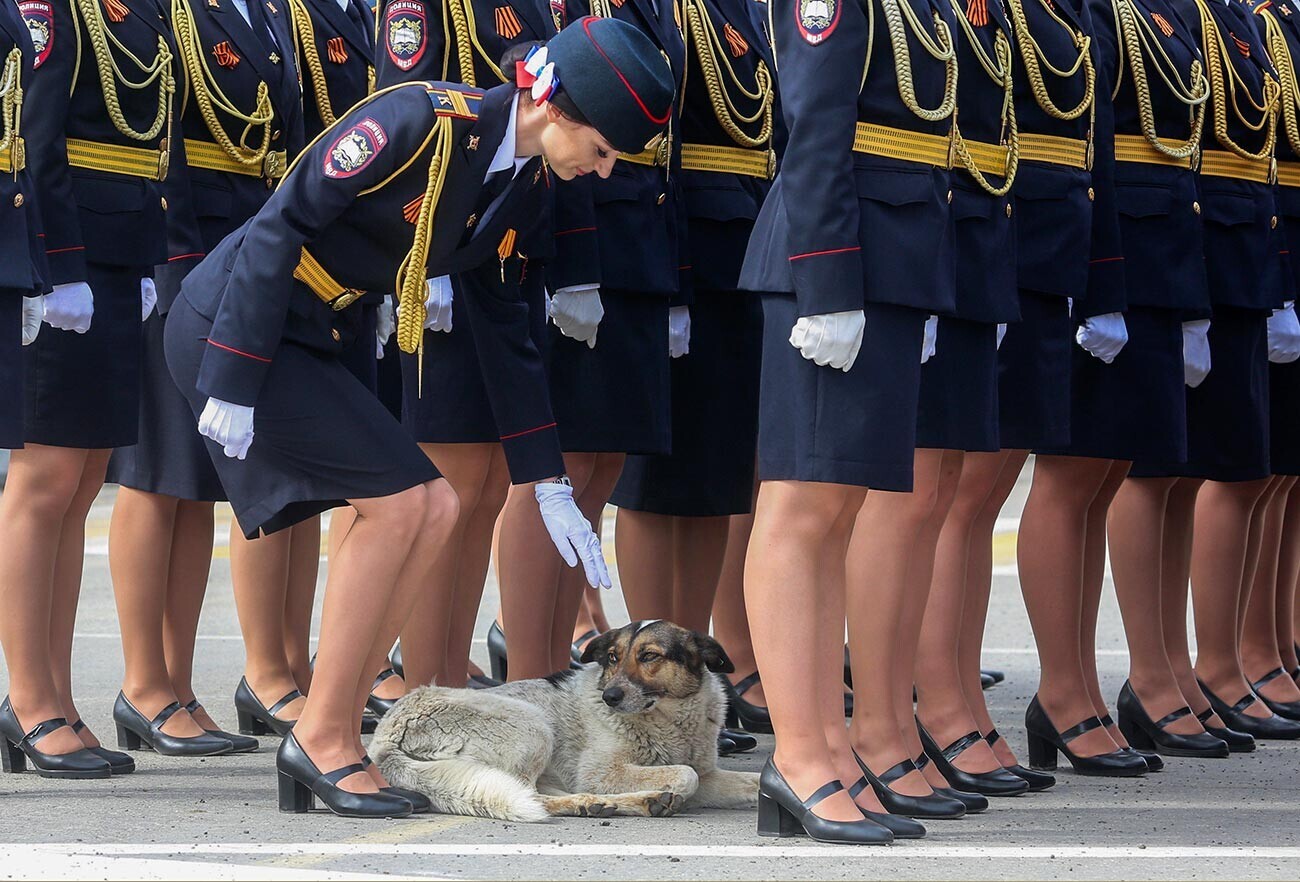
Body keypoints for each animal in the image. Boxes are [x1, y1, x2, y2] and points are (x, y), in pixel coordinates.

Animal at [371, 621, 759, 822]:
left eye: (649, 656)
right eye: (613, 658)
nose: (609, 697)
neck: (670, 719)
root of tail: (384, 738)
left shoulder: (709, 774)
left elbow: (747, 782)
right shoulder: (600, 772)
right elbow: (685, 774)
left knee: (546, 792)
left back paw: (617, 804)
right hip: (534, 726)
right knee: (530, 796)